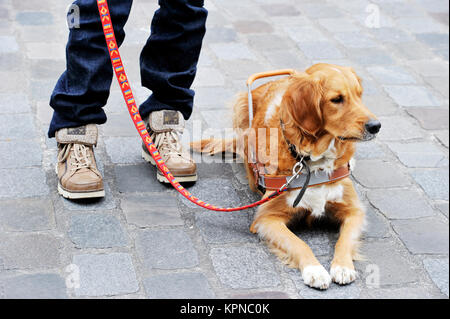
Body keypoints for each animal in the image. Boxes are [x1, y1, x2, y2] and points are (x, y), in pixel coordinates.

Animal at [190, 63, 380, 292]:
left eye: (359, 95)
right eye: (337, 99)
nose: (376, 126)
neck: (312, 162)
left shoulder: (354, 211)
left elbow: (345, 239)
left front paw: (342, 266)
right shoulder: (266, 218)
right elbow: (299, 244)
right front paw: (315, 270)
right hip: (239, 105)